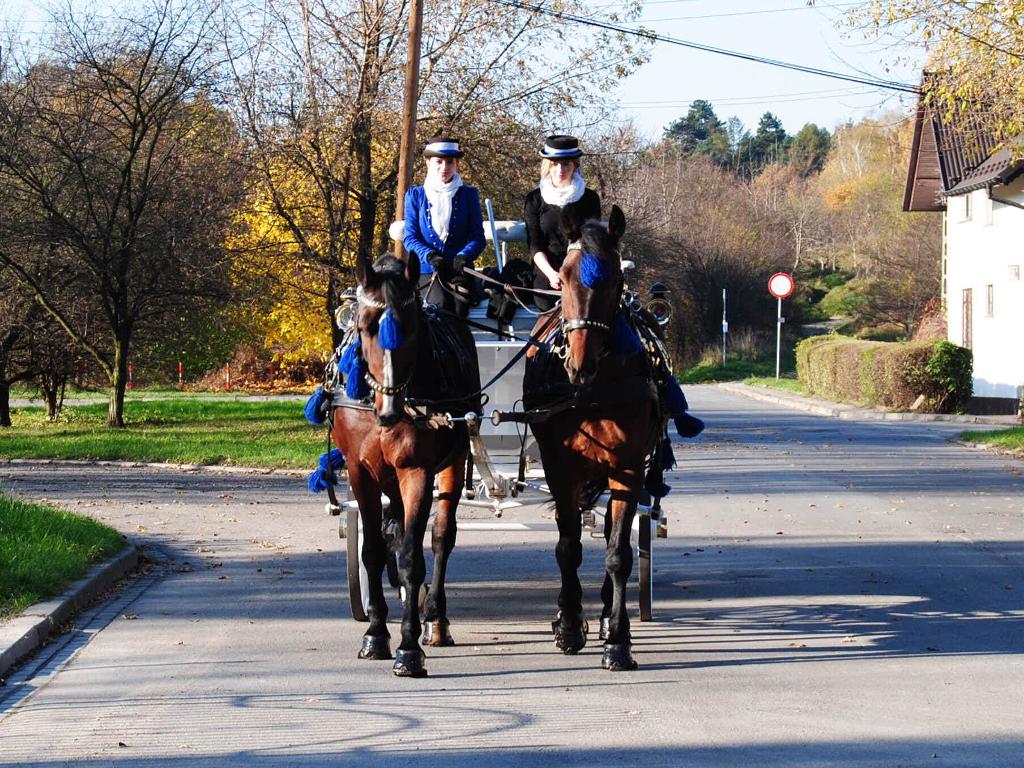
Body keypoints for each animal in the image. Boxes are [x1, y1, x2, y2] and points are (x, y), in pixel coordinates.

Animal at [331, 249, 483, 675]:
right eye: (365, 327)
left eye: (409, 328)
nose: (389, 410)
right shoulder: (360, 472)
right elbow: (373, 550)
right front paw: (375, 634)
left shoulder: (416, 471)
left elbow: (415, 555)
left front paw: (409, 647)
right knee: (392, 531)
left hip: (453, 461)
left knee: (441, 536)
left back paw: (435, 616)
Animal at [524, 205, 659, 671]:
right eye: (563, 276)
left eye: (615, 279)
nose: (579, 366)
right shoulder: (559, 466)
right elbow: (568, 547)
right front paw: (568, 625)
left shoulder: (628, 467)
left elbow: (618, 552)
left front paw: (618, 640)